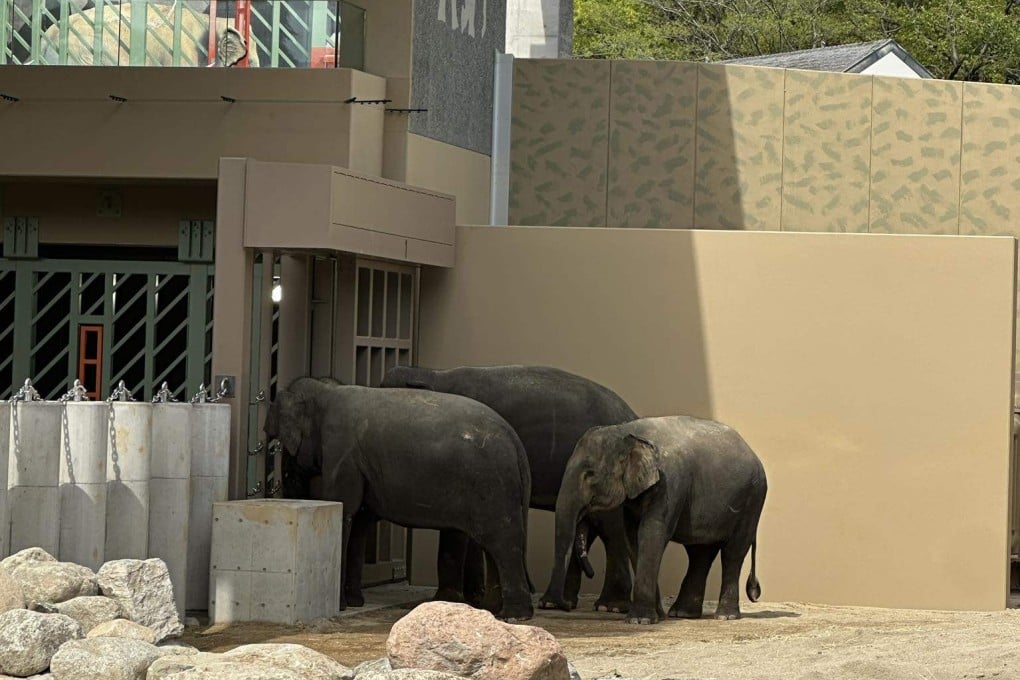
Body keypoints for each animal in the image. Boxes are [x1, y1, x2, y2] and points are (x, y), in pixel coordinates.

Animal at [265, 376, 535, 621]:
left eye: (283, 445)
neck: (327, 390)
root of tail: (515, 442)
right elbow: (361, 520)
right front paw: (354, 603)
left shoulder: (342, 452)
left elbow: (345, 509)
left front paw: (342, 606)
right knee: (493, 546)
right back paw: (494, 611)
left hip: (492, 484)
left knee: (502, 542)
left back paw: (514, 617)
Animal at [380, 364, 639, 613]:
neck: (431, 374)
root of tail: (631, 413)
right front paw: (475, 599)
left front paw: (449, 600)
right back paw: (557, 603)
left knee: (610, 530)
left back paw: (610, 606)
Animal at [543, 416, 767, 624]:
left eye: (589, 474)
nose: (566, 606)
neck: (628, 431)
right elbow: (633, 537)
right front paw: (656, 616)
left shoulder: (670, 483)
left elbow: (651, 533)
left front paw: (639, 620)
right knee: (700, 552)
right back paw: (682, 614)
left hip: (752, 500)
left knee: (733, 552)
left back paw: (724, 616)